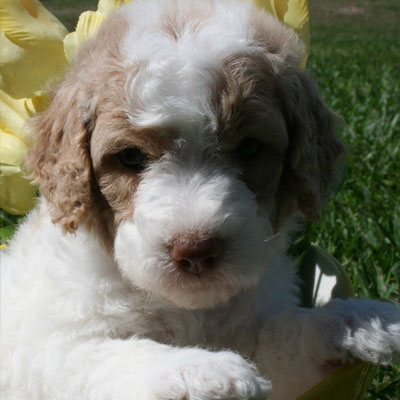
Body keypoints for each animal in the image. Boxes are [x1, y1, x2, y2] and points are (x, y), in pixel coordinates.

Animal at [0, 0, 400, 400]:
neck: (187, 307)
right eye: (130, 157)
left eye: (249, 147)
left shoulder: (260, 339)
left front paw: (361, 319)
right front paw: (199, 371)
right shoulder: (50, 350)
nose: (195, 250)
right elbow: (109, 357)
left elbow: (287, 334)